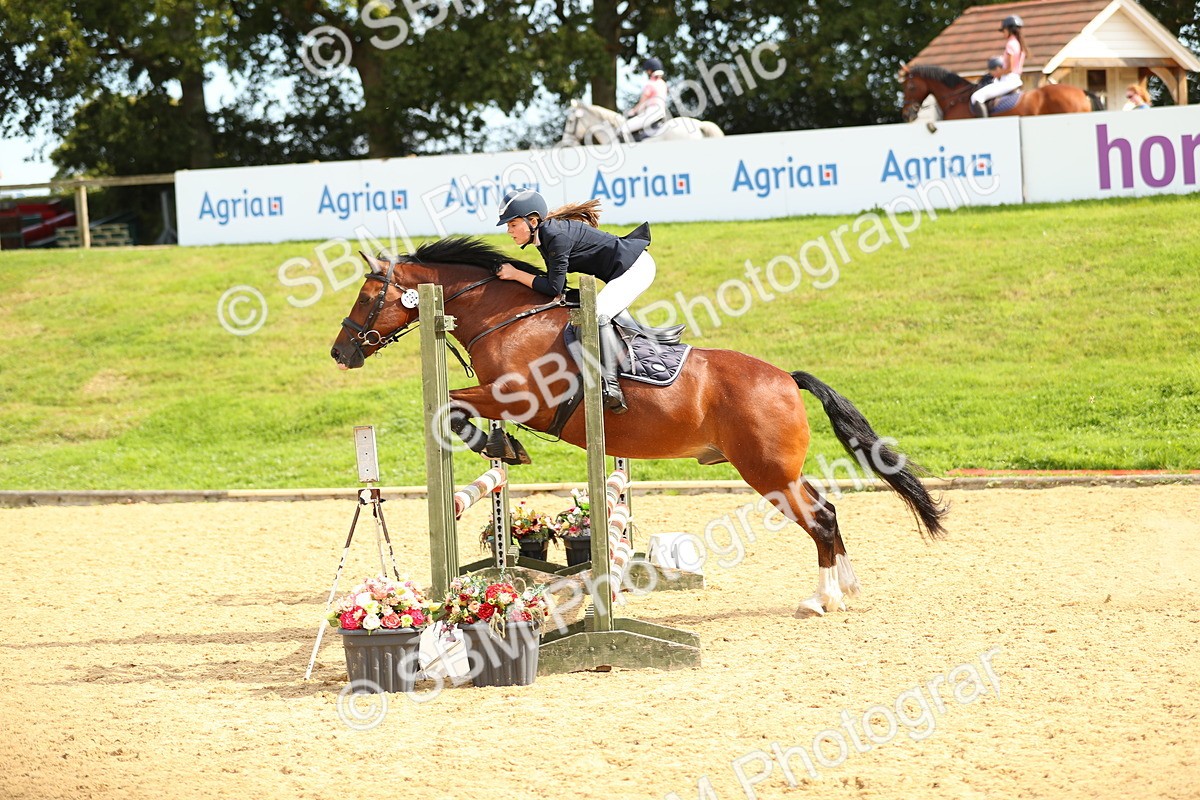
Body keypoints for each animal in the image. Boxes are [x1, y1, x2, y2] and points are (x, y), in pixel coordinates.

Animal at [330, 237, 947, 616]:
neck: (504, 318)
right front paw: (504, 446)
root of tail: (786, 379)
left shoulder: (523, 400)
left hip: (766, 471)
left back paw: (820, 600)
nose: (341, 353)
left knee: (818, 520)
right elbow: (459, 412)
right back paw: (846, 589)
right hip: (780, 469)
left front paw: (502, 444)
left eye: (367, 294)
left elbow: (453, 409)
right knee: (829, 511)